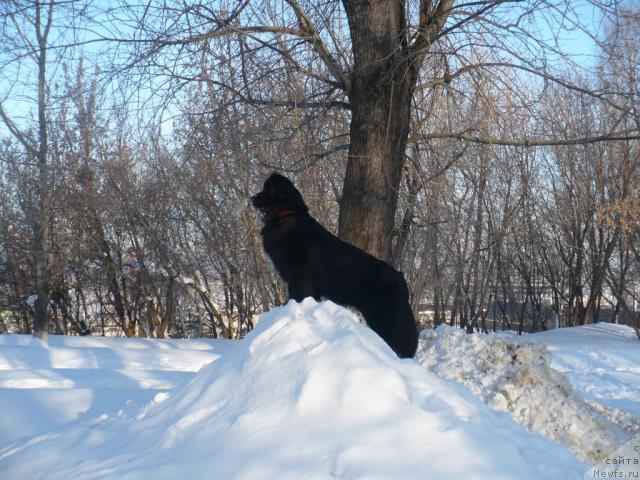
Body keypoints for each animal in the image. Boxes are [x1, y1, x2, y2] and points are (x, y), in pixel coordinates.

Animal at [250, 172, 420, 356]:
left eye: (268, 189)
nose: (252, 198)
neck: (287, 214)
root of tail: (401, 280)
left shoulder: (299, 280)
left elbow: (298, 297)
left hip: (385, 318)